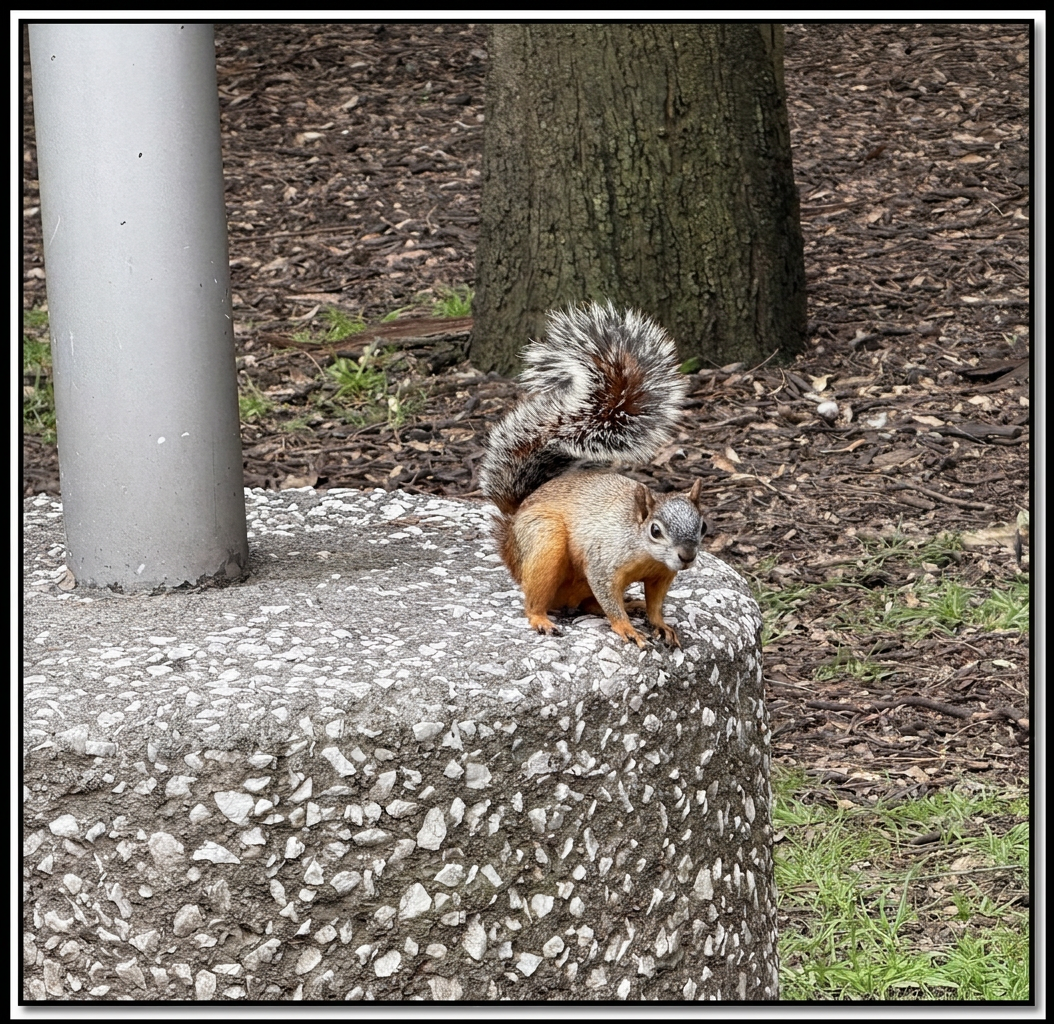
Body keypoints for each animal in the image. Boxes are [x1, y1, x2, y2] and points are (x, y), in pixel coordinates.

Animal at [480, 301, 706, 648]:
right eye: (655, 530)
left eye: (703, 526)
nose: (687, 556)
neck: (646, 552)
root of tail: (514, 522)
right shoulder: (603, 562)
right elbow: (608, 596)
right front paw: (627, 629)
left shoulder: (662, 575)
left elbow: (655, 602)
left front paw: (659, 623)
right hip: (544, 542)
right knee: (537, 598)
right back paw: (541, 618)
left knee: (587, 604)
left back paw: (632, 604)